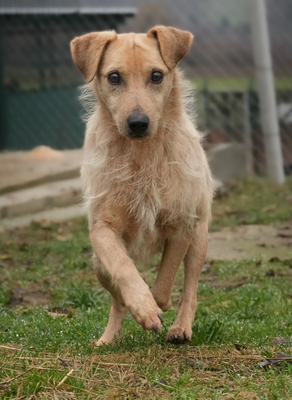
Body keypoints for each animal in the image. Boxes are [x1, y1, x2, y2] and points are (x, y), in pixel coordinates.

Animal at [70, 25, 213, 346]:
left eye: (157, 75)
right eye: (114, 77)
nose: (137, 122)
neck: (141, 155)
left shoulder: (182, 224)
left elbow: (166, 279)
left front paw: (155, 304)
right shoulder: (102, 229)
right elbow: (124, 269)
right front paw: (142, 306)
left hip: (199, 239)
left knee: (191, 288)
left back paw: (180, 328)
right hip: (97, 265)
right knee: (116, 298)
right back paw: (110, 337)